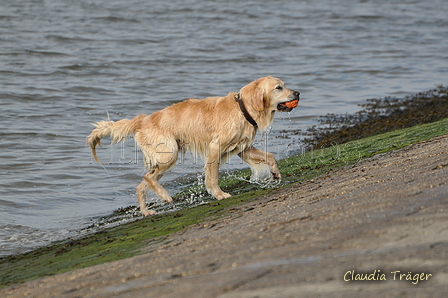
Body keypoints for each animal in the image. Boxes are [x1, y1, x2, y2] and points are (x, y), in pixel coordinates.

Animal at [86, 76, 300, 217]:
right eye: (279, 87)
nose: (297, 92)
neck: (243, 109)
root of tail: (141, 120)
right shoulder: (215, 148)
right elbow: (212, 177)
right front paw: (219, 194)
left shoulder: (243, 149)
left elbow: (270, 156)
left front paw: (275, 173)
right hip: (169, 153)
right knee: (147, 177)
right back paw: (165, 197)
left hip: (163, 159)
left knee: (142, 185)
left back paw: (147, 211)